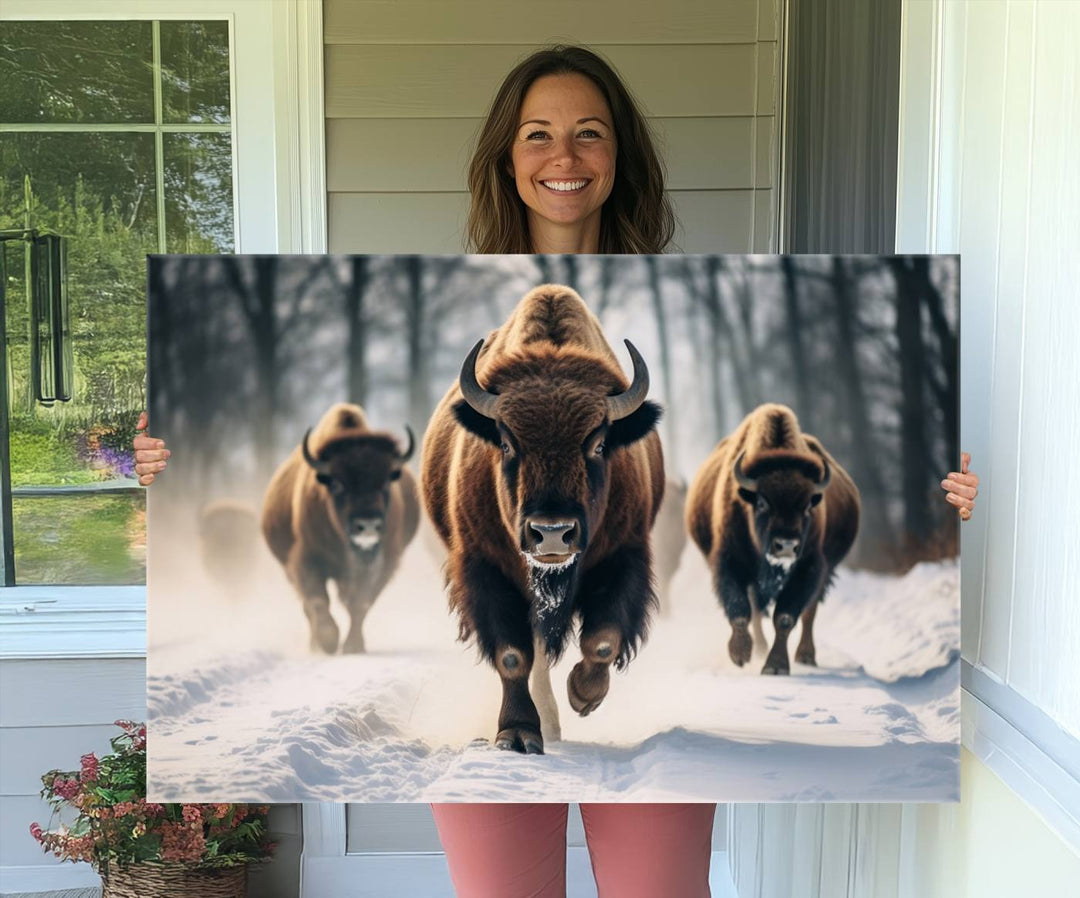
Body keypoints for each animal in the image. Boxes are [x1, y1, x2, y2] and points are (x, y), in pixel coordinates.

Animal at [261, 401, 421, 652]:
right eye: (337, 483)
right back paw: (315, 644)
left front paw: (354, 646)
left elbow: (361, 603)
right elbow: (318, 600)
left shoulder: (383, 562)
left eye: (386, 481)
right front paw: (328, 641)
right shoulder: (306, 558)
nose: (367, 525)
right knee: (308, 606)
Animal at [416, 285, 660, 752]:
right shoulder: (486, 568)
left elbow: (603, 640)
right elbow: (513, 656)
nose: (551, 533)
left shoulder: (624, 555)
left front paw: (583, 695)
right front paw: (517, 733)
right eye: (507, 443)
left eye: (598, 443)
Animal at [682, 406, 859, 674]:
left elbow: (785, 617)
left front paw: (775, 666)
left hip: (825, 571)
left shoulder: (809, 567)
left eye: (808, 506)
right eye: (763, 502)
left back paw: (806, 656)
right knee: (757, 609)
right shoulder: (729, 562)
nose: (786, 545)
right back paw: (759, 649)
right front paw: (740, 654)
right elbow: (740, 610)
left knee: (809, 611)